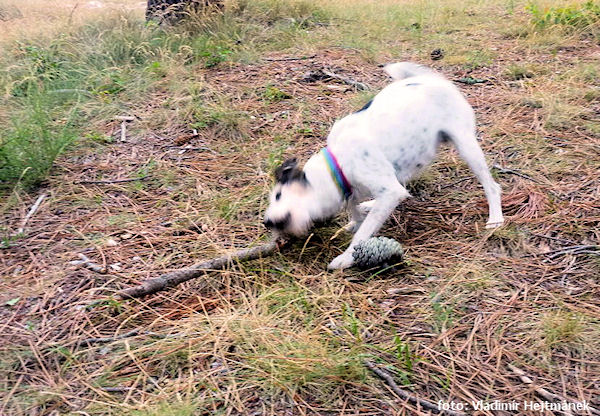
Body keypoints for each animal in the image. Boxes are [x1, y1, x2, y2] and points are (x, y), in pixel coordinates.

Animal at [264, 61, 504, 270]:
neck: (339, 163)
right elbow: (355, 209)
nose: (266, 222)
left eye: (278, 195)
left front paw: (346, 258)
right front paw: (356, 220)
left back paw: (495, 220)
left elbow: (363, 233)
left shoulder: (387, 191)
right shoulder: (359, 189)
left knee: (492, 186)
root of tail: (433, 79)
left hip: (467, 147)